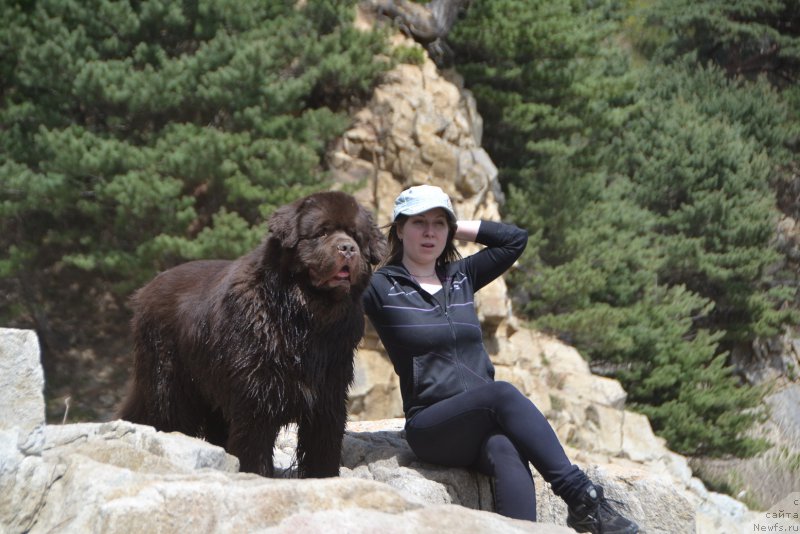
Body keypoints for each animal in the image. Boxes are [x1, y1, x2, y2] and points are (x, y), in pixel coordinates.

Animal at [118, 192, 388, 478]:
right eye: (322, 232)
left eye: (356, 236)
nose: (347, 248)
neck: (305, 320)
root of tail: (146, 288)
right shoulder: (257, 394)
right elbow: (254, 446)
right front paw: (254, 474)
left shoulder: (328, 393)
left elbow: (323, 446)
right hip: (170, 381)